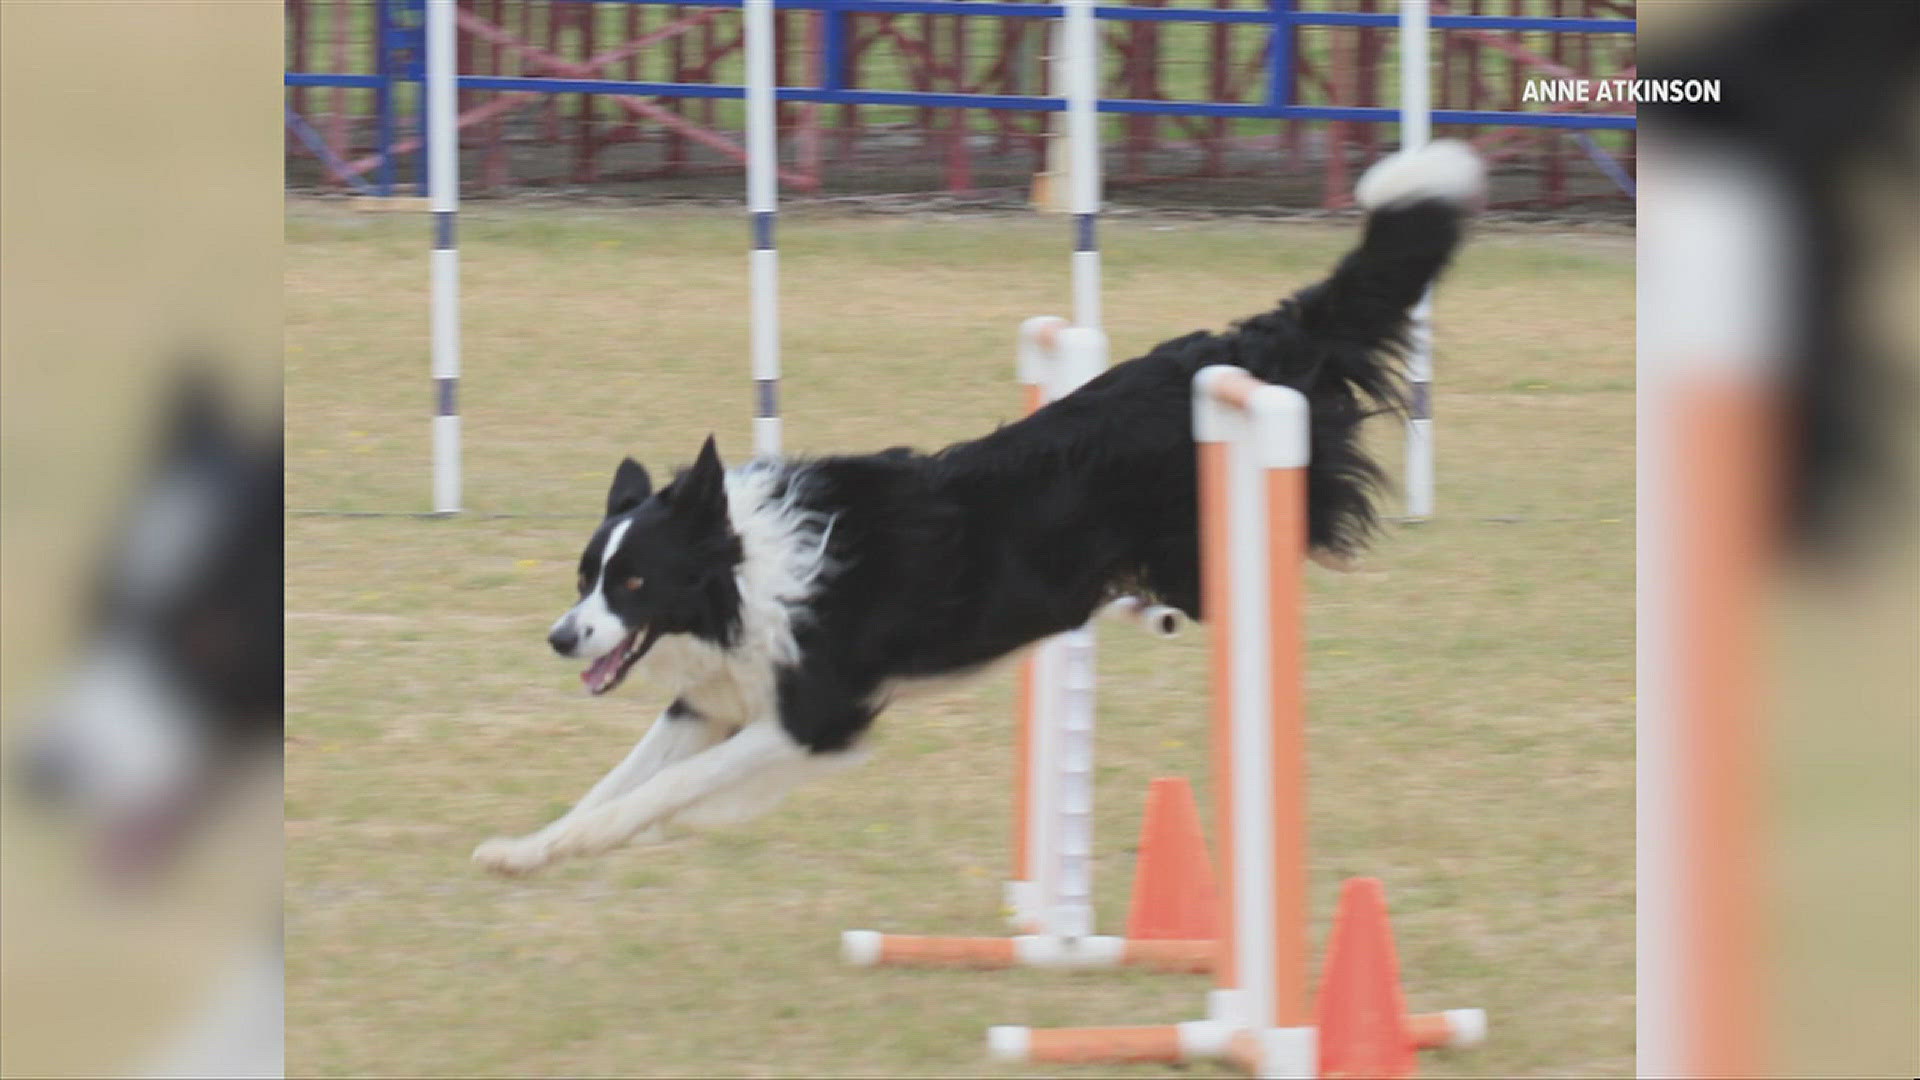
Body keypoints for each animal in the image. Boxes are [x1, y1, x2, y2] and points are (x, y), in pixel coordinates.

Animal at [476, 138, 1482, 876]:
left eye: (634, 582)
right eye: (587, 576)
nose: (560, 637)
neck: (745, 576)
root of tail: (1260, 340)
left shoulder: (814, 717)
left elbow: (655, 794)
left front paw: (594, 840)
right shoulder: (713, 703)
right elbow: (613, 783)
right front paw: (528, 850)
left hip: (1217, 539)